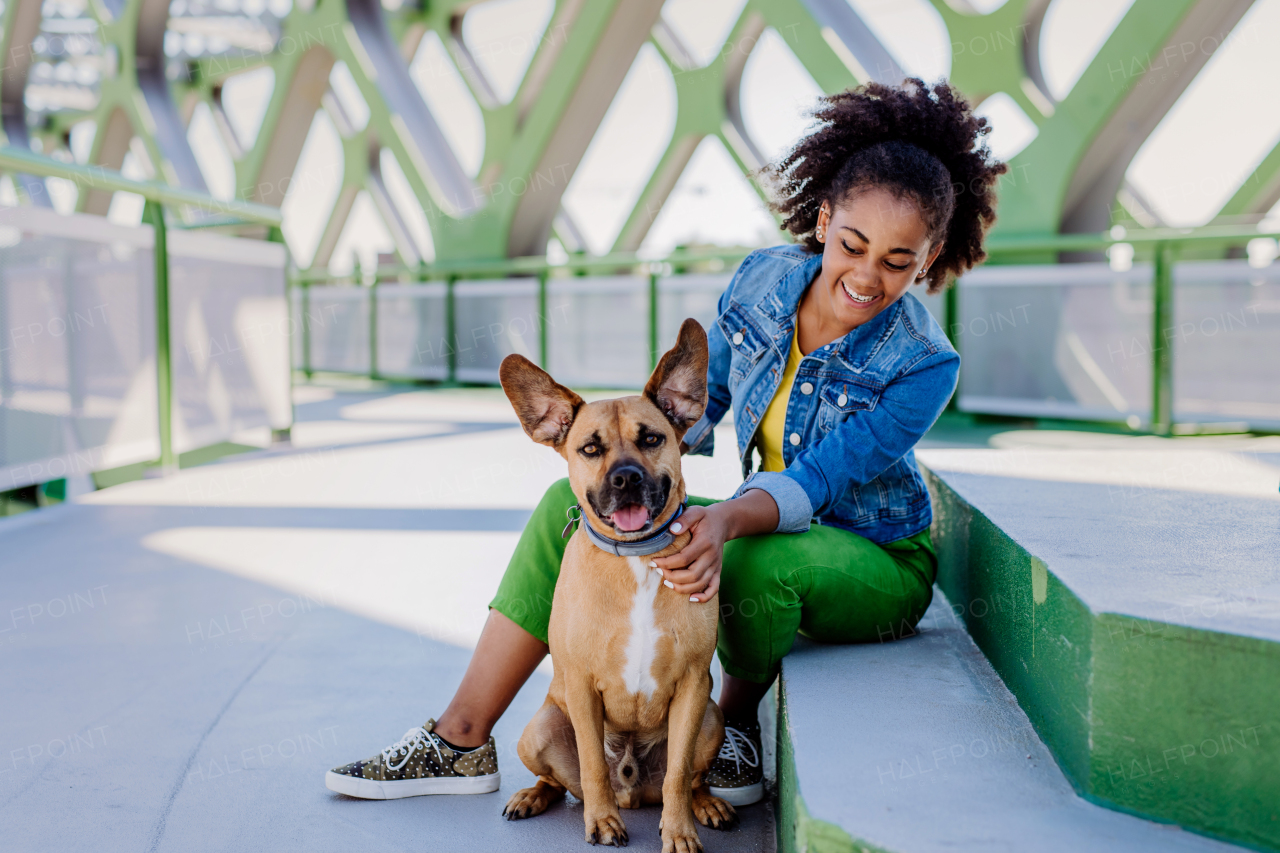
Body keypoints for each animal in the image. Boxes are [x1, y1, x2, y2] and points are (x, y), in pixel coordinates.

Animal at [499, 318, 742, 850]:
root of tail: (632, 789)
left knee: (692, 777)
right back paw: (533, 796)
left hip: (712, 719)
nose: (626, 478)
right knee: (558, 780)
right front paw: (602, 821)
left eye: (651, 438)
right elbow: (591, 766)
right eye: (590, 449)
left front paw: (678, 830)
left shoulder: (694, 685)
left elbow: (677, 775)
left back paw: (706, 804)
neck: (637, 559)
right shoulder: (582, 686)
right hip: (541, 727)